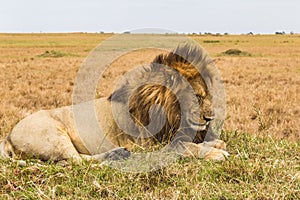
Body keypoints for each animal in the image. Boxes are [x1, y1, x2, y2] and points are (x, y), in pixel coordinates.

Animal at [0, 45, 229, 164]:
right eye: (197, 97)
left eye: (207, 95)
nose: (210, 118)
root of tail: (8, 136)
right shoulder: (150, 145)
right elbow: (186, 147)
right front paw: (216, 153)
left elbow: (197, 142)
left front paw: (216, 144)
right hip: (53, 135)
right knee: (76, 161)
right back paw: (115, 157)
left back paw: (119, 154)